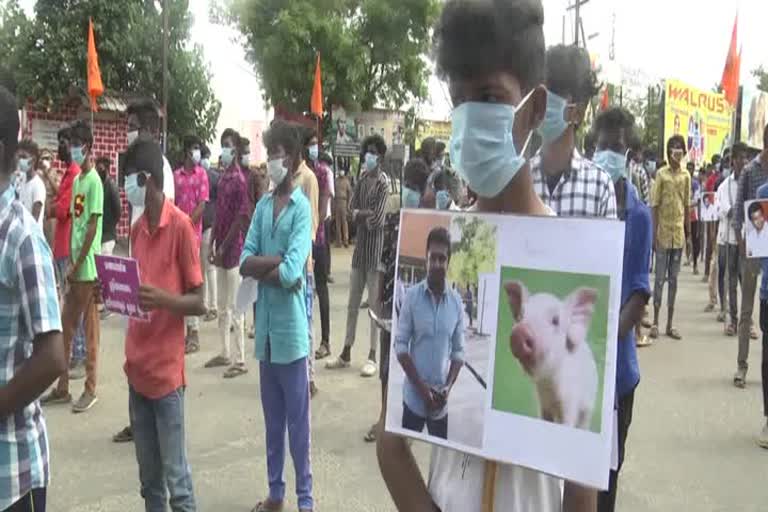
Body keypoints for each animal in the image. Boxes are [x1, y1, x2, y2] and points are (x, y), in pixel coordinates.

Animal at [504, 280, 600, 428]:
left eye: (555, 320)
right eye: (521, 317)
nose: (520, 331)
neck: (548, 386)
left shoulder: (570, 402)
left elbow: (569, 422)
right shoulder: (543, 404)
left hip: (588, 407)